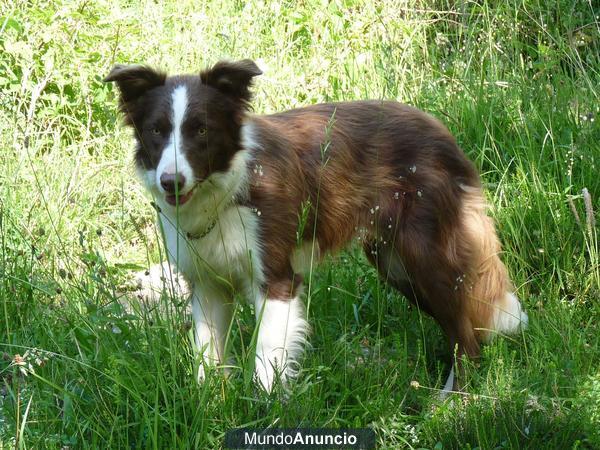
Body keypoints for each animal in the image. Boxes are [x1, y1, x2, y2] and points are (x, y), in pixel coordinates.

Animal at [105, 59, 528, 394]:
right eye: (156, 130)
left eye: (201, 130)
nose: (171, 182)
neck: (227, 186)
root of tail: (444, 133)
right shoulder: (208, 285)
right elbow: (207, 359)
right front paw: (210, 406)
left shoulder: (277, 279)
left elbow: (266, 361)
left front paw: (265, 411)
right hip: (393, 262)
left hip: (426, 255)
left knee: (467, 336)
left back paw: (452, 401)